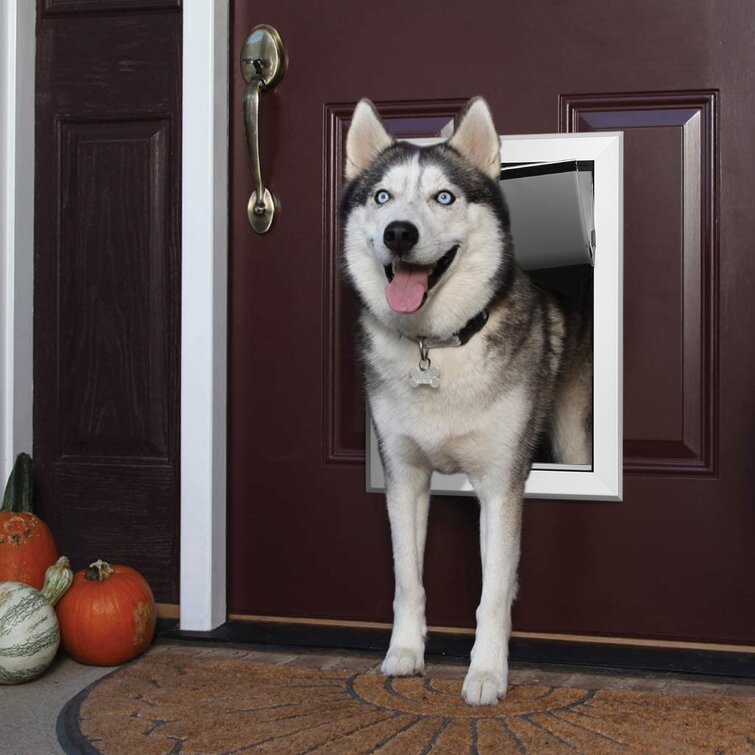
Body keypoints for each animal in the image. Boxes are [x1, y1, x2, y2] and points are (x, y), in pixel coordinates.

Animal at [340, 97, 592, 704]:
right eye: (381, 197)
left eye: (444, 197)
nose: (399, 233)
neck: (437, 347)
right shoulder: (404, 476)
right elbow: (408, 578)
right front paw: (404, 653)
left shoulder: (501, 484)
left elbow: (494, 594)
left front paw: (485, 674)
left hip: (571, 435)